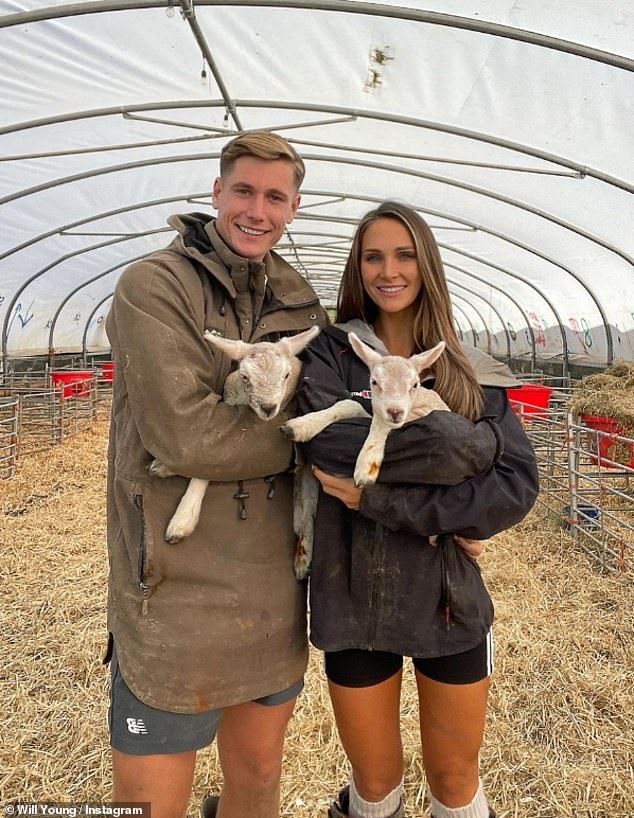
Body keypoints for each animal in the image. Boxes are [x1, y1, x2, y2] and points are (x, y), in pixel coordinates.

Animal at [146, 322, 318, 576]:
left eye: (286, 375)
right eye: (245, 376)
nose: (268, 408)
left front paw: (181, 521)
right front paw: (163, 467)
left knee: (309, 511)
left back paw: (303, 560)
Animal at [278, 330, 446, 488]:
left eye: (415, 384)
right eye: (374, 382)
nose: (395, 412)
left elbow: (381, 422)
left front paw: (366, 467)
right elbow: (350, 404)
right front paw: (299, 426)